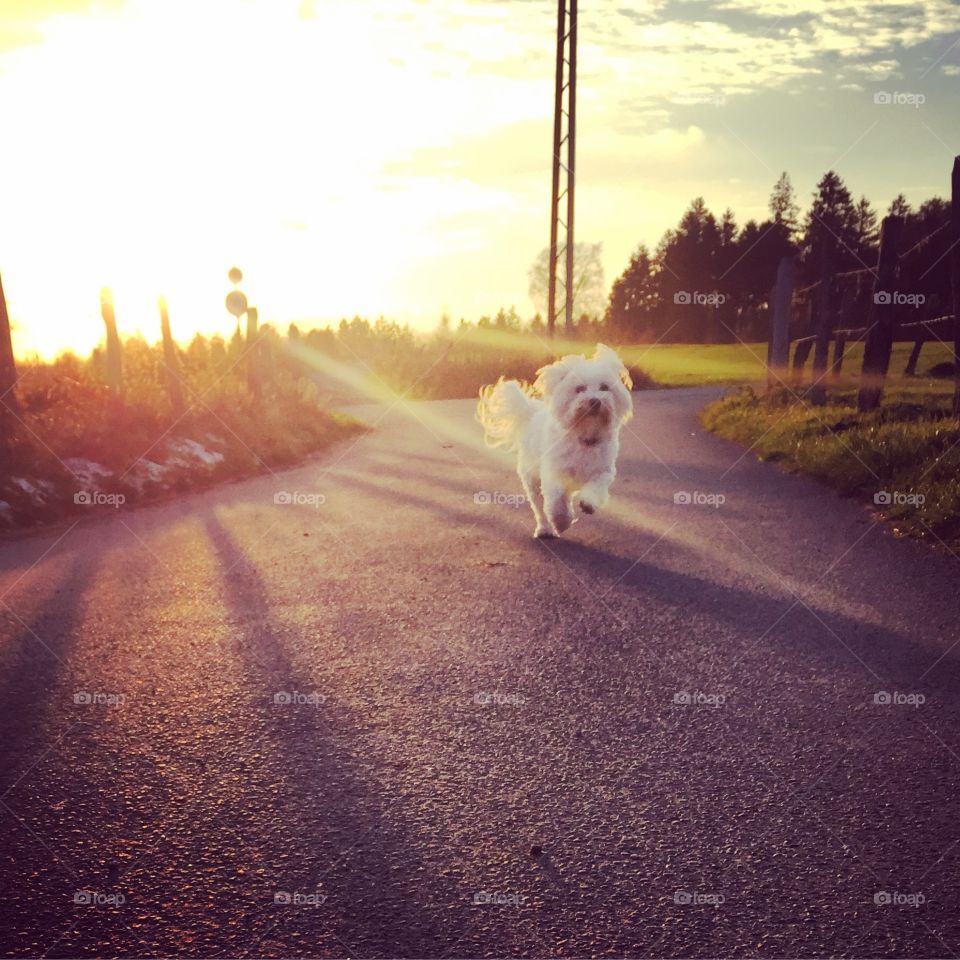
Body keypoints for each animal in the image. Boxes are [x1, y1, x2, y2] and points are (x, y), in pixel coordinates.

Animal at [476, 344, 632, 540]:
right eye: (579, 388)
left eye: (604, 387)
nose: (595, 401)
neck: (583, 436)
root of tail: (531, 414)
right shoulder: (554, 475)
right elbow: (557, 503)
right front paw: (561, 523)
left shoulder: (603, 472)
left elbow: (596, 487)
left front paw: (589, 503)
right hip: (532, 481)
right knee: (539, 509)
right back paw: (544, 529)